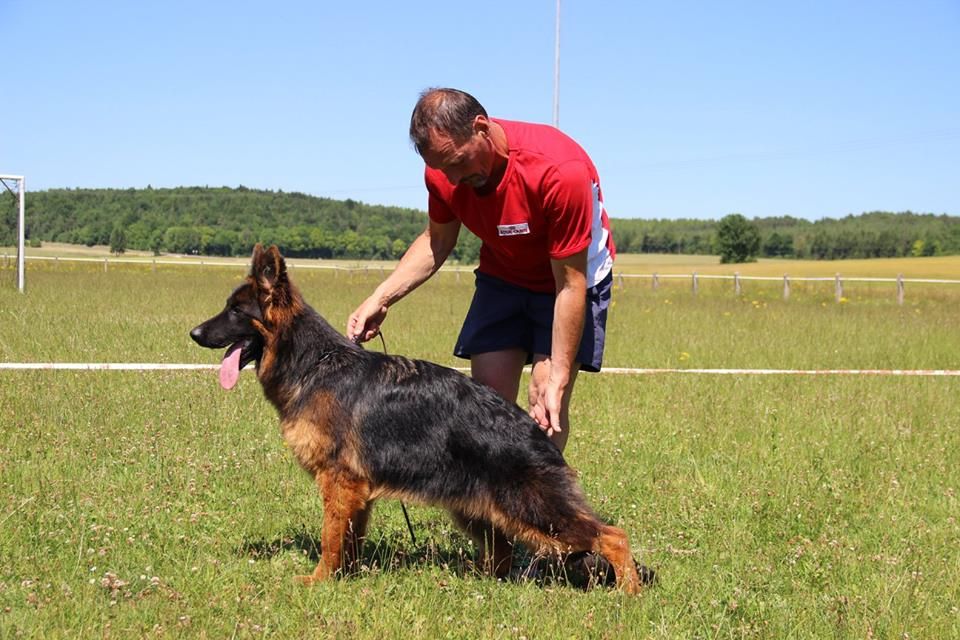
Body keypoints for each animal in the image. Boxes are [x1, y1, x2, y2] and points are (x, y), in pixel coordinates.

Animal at [190, 246, 644, 596]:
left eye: (235, 310)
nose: (193, 333)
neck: (313, 364)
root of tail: (535, 430)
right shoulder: (356, 492)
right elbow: (349, 541)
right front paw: (345, 579)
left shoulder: (339, 483)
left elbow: (330, 540)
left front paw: (319, 581)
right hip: (480, 509)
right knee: (501, 550)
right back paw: (481, 581)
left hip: (532, 508)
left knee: (613, 536)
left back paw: (630, 593)